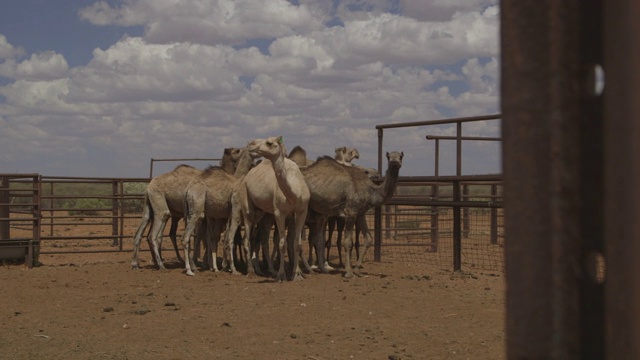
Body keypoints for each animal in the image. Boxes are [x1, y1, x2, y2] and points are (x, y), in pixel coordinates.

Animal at [179, 148, 256, 276]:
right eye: (237, 151)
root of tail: (188, 190)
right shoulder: (228, 216)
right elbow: (226, 239)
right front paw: (226, 267)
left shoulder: (214, 217)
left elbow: (213, 238)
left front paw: (215, 267)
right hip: (196, 212)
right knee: (186, 238)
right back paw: (190, 270)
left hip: (191, 214)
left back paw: (197, 266)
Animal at [225, 137, 310, 282]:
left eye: (269, 143)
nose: (251, 144)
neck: (294, 193)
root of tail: (243, 179)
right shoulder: (279, 213)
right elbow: (282, 244)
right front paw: (281, 275)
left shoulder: (301, 211)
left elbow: (296, 244)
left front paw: (297, 274)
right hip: (245, 207)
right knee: (243, 238)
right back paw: (249, 271)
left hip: (263, 215)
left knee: (259, 240)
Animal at [302, 150, 402, 278]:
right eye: (389, 156)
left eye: (401, 156)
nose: (394, 161)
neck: (371, 192)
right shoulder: (350, 212)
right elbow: (347, 242)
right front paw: (348, 272)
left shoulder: (360, 213)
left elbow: (369, 238)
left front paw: (357, 269)